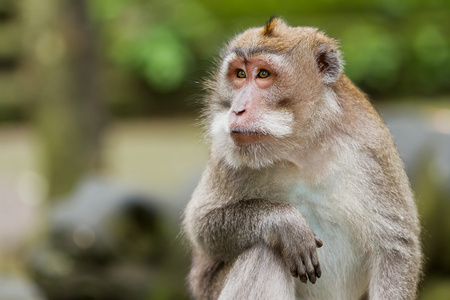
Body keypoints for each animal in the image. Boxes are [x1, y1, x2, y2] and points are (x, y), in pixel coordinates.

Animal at [183, 17, 422, 300]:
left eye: (263, 74)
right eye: (240, 74)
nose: (237, 109)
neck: (301, 146)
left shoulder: (371, 146)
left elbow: (395, 247)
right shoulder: (225, 151)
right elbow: (202, 226)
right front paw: (284, 222)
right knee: (264, 253)